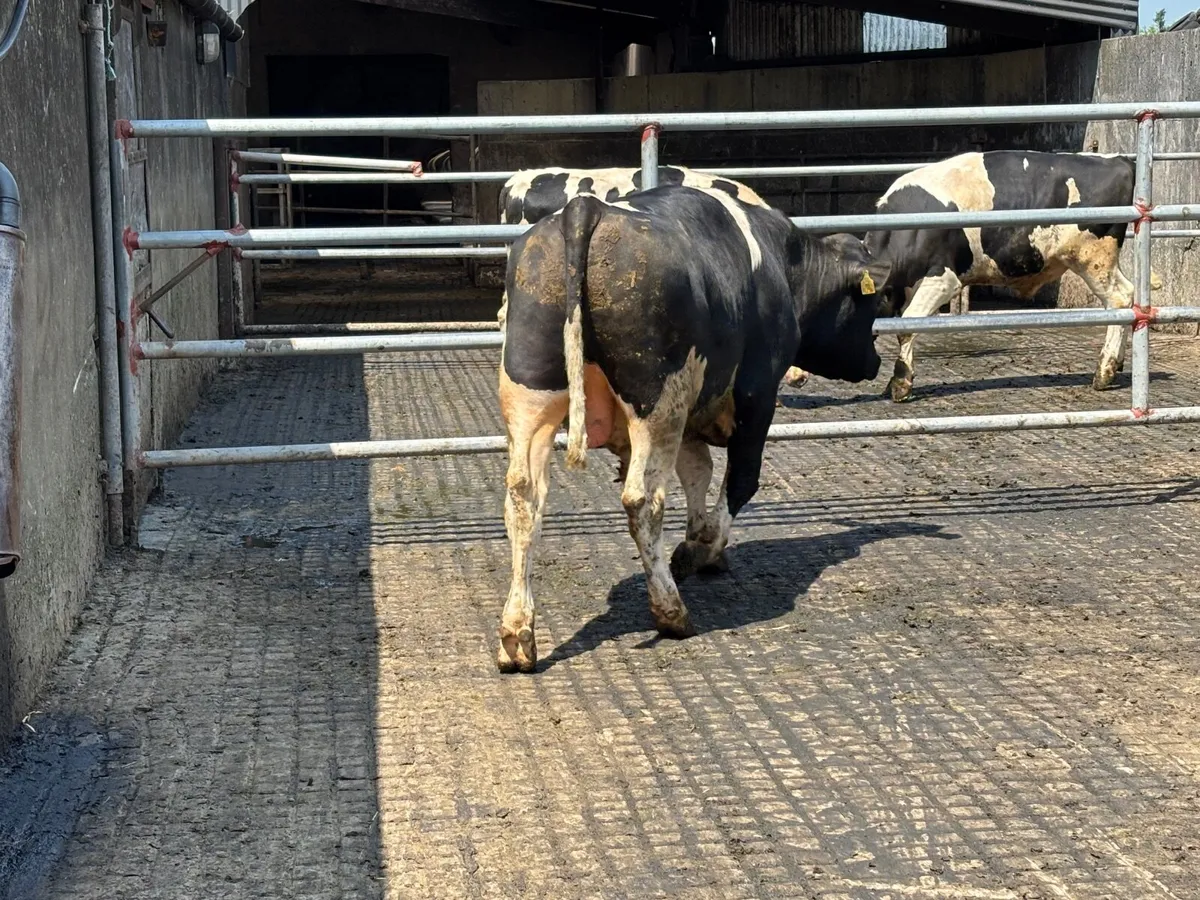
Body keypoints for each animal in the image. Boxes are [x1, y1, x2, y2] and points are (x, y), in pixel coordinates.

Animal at [866, 150, 1163, 403]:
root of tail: (1117, 159)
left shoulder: (943, 279)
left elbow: (906, 325)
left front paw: (900, 383)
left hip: (1092, 257)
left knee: (1118, 298)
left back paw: (1104, 372)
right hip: (1102, 262)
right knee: (1127, 294)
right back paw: (1117, 363)